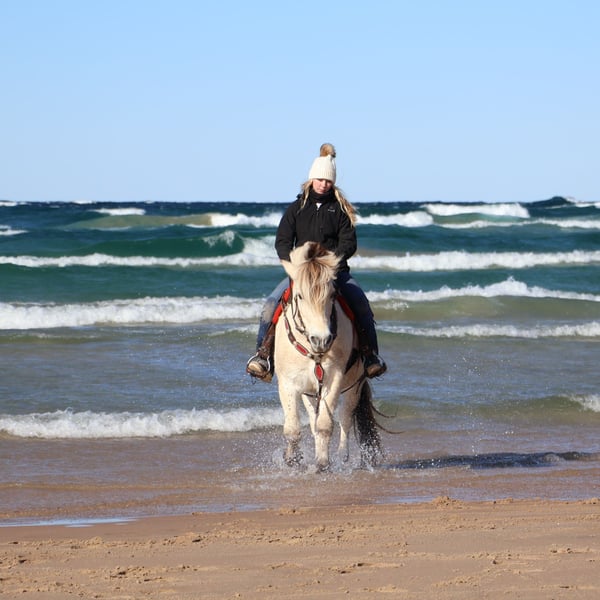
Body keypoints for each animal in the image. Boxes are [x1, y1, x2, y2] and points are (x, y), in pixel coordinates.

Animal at [274, 241, 383, 471]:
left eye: (332, 295)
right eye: (299, 296)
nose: (321, 339)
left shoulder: (334, 379)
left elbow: (326, 424)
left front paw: (323, 463)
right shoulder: (288, 383)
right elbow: (293, 428)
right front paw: (293, 459)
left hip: (355, 385)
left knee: (345, 418)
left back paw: (342, 455)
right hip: (310, 391)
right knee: (313, 420)